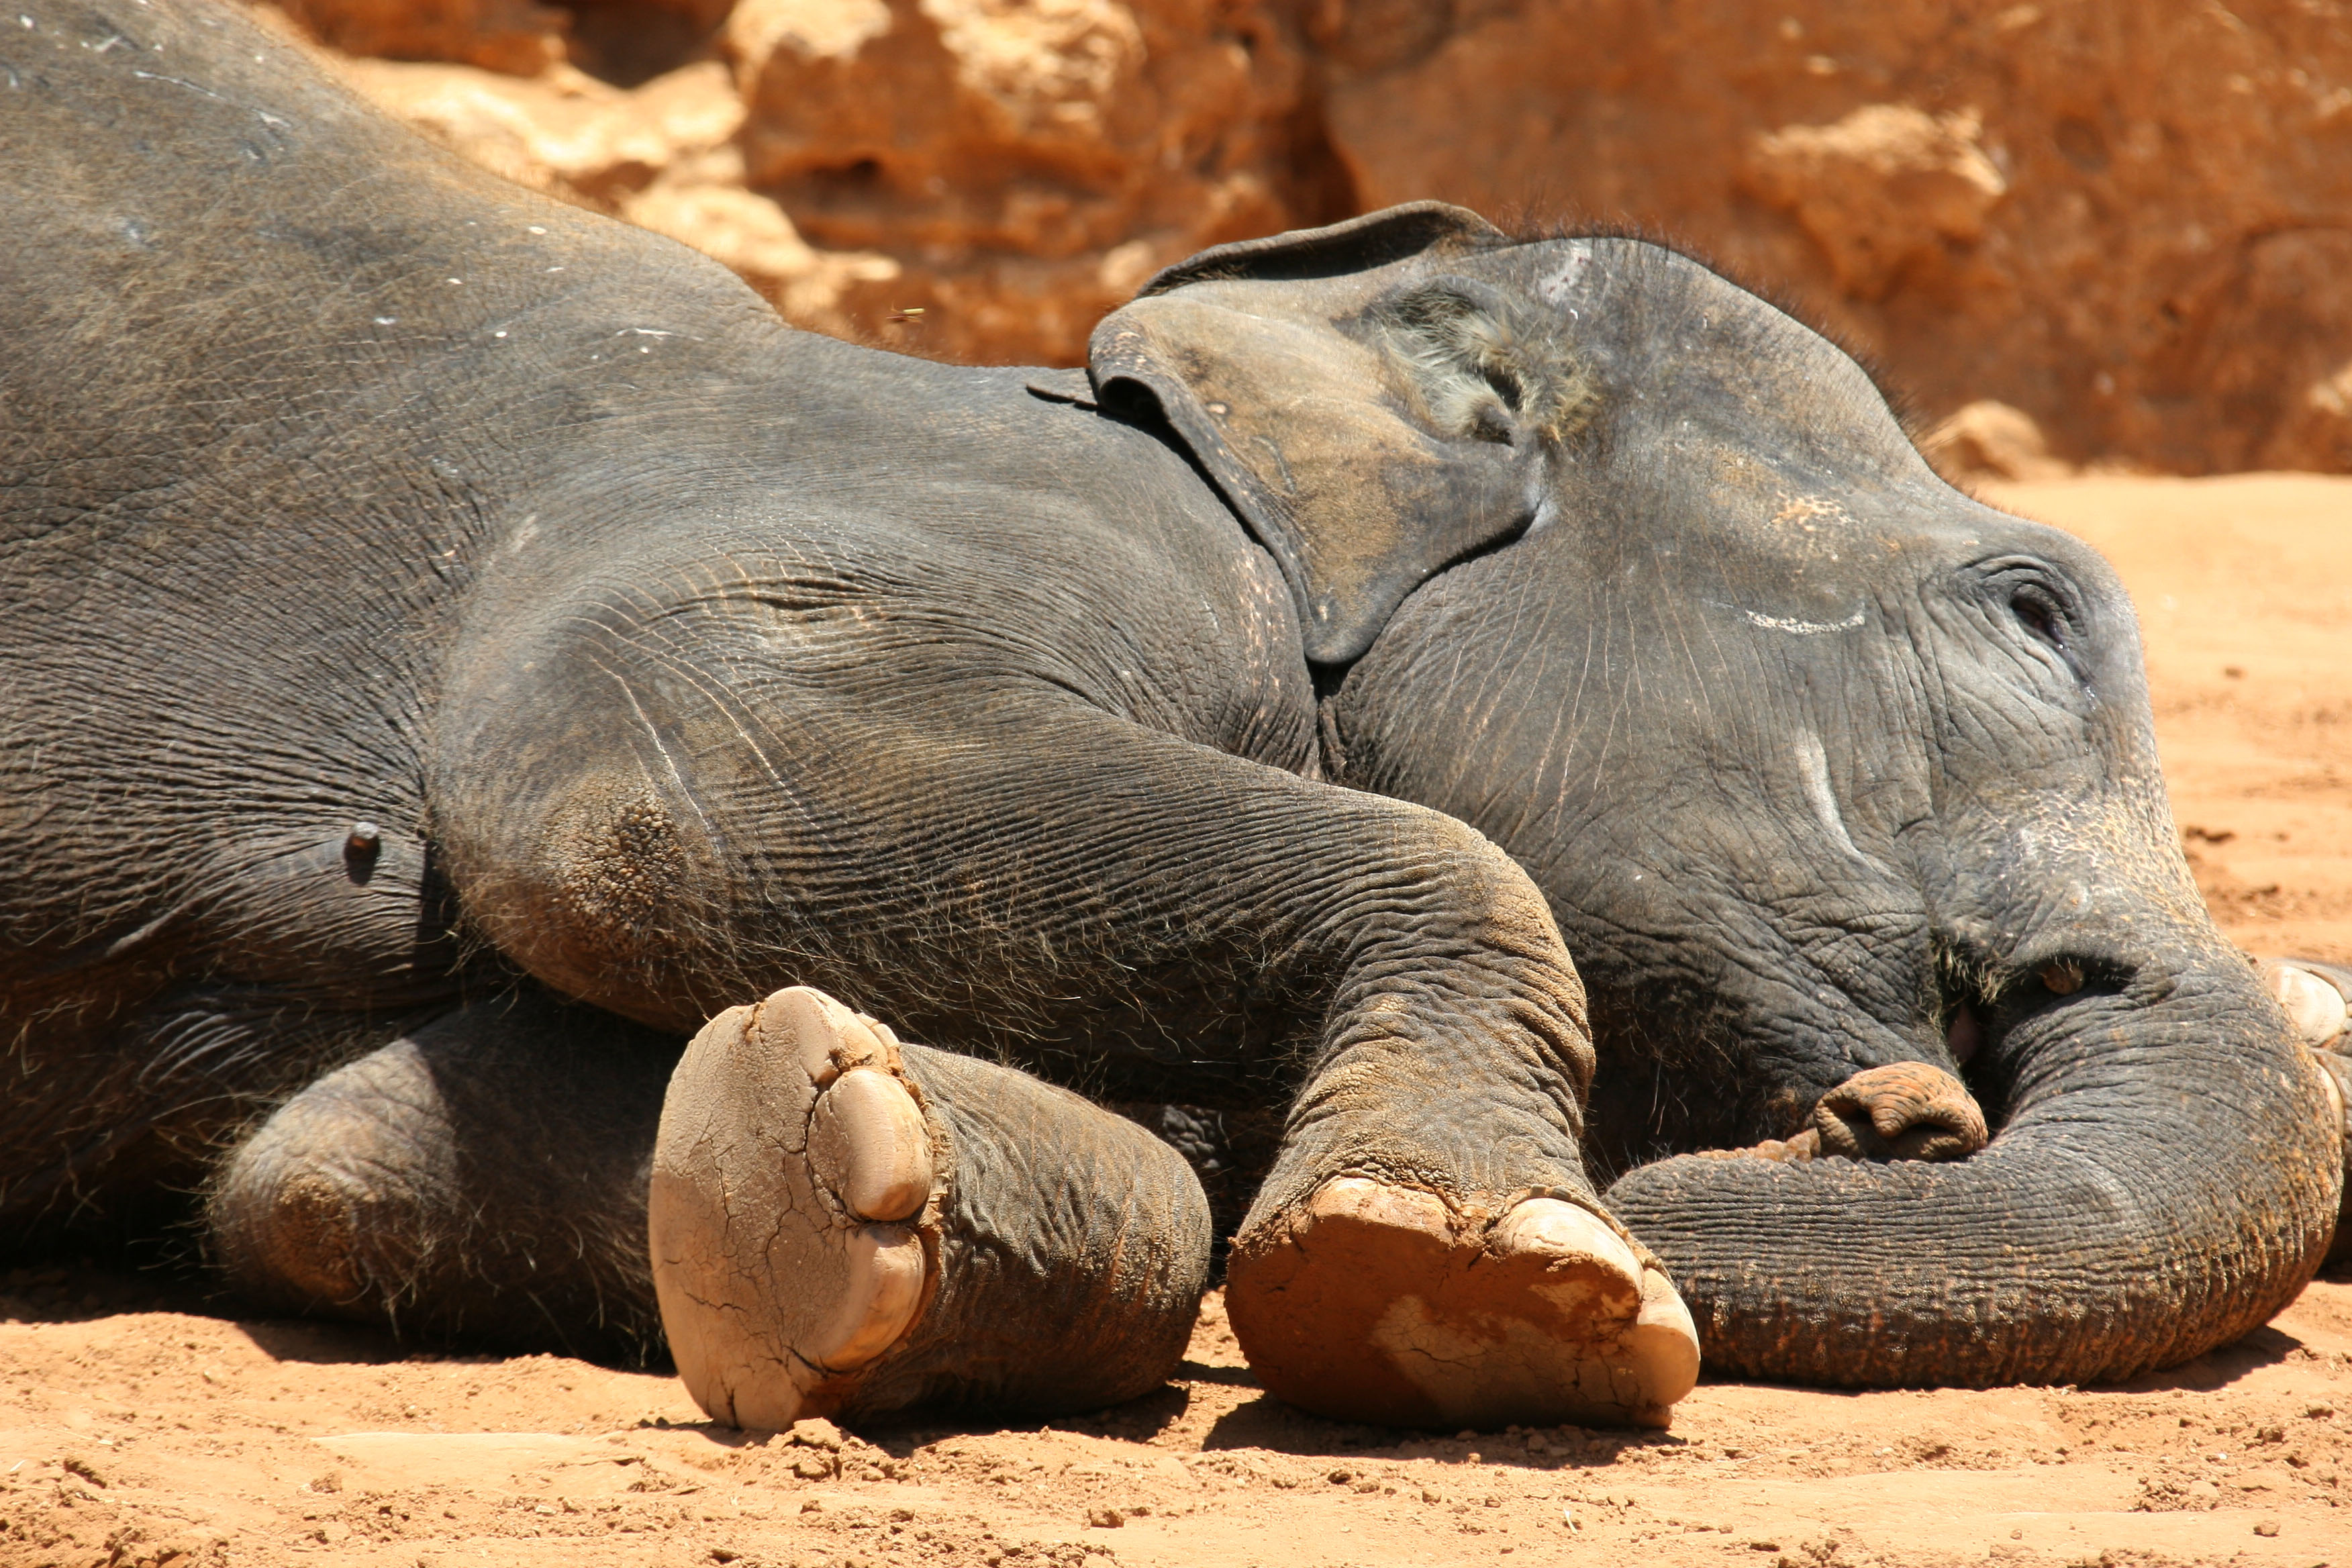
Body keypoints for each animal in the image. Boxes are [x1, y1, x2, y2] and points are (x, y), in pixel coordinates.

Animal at [4, 0, 2352, 1438]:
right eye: (2030, 611)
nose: (1881, 1130)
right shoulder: (857, 516)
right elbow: (615, 776)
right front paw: (1495, 1273)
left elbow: (336, 1160)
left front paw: (817, 1155)